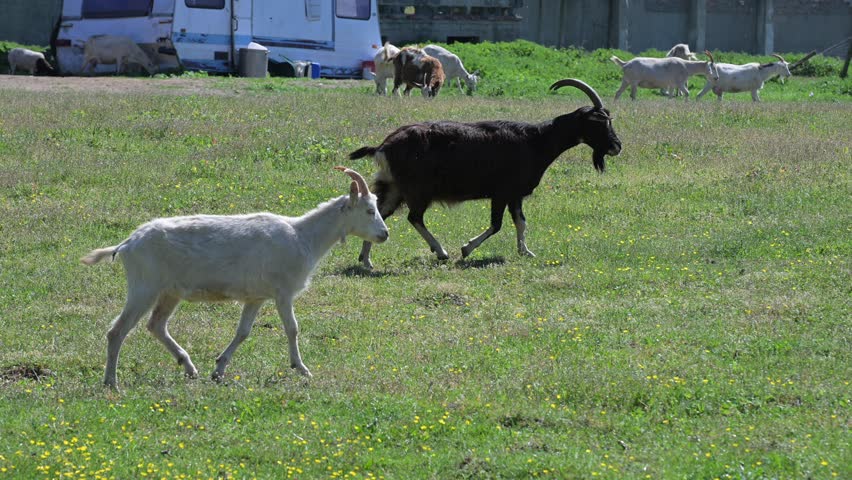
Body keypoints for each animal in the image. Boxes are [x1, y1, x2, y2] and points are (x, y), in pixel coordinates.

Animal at [81, 167, 388, 389]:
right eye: (369, 210)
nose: (384, 234)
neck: (303, 237)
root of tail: (127, 244)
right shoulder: (283, 292)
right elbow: (292, 328)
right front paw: (302, 369)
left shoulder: (256, 297)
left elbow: (243, 332)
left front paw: (218, 370)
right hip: (144, 287)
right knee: (117, 330)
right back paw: (111, 383)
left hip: (170, 292)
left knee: (156, 325)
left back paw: (189, 368)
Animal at [348, 79, 621, 269]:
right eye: (600, 122)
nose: (616, 146)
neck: (537, 140)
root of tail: (384, 146)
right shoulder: (501, 192)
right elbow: (497, 224)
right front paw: (466, 249)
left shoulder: (514, 195)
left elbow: (521, 222)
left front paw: (526, 252)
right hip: (418, 189)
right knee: (414, 217)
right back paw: (441, 252)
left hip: (395, 187)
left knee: (381, 212)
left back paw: (366, 260)